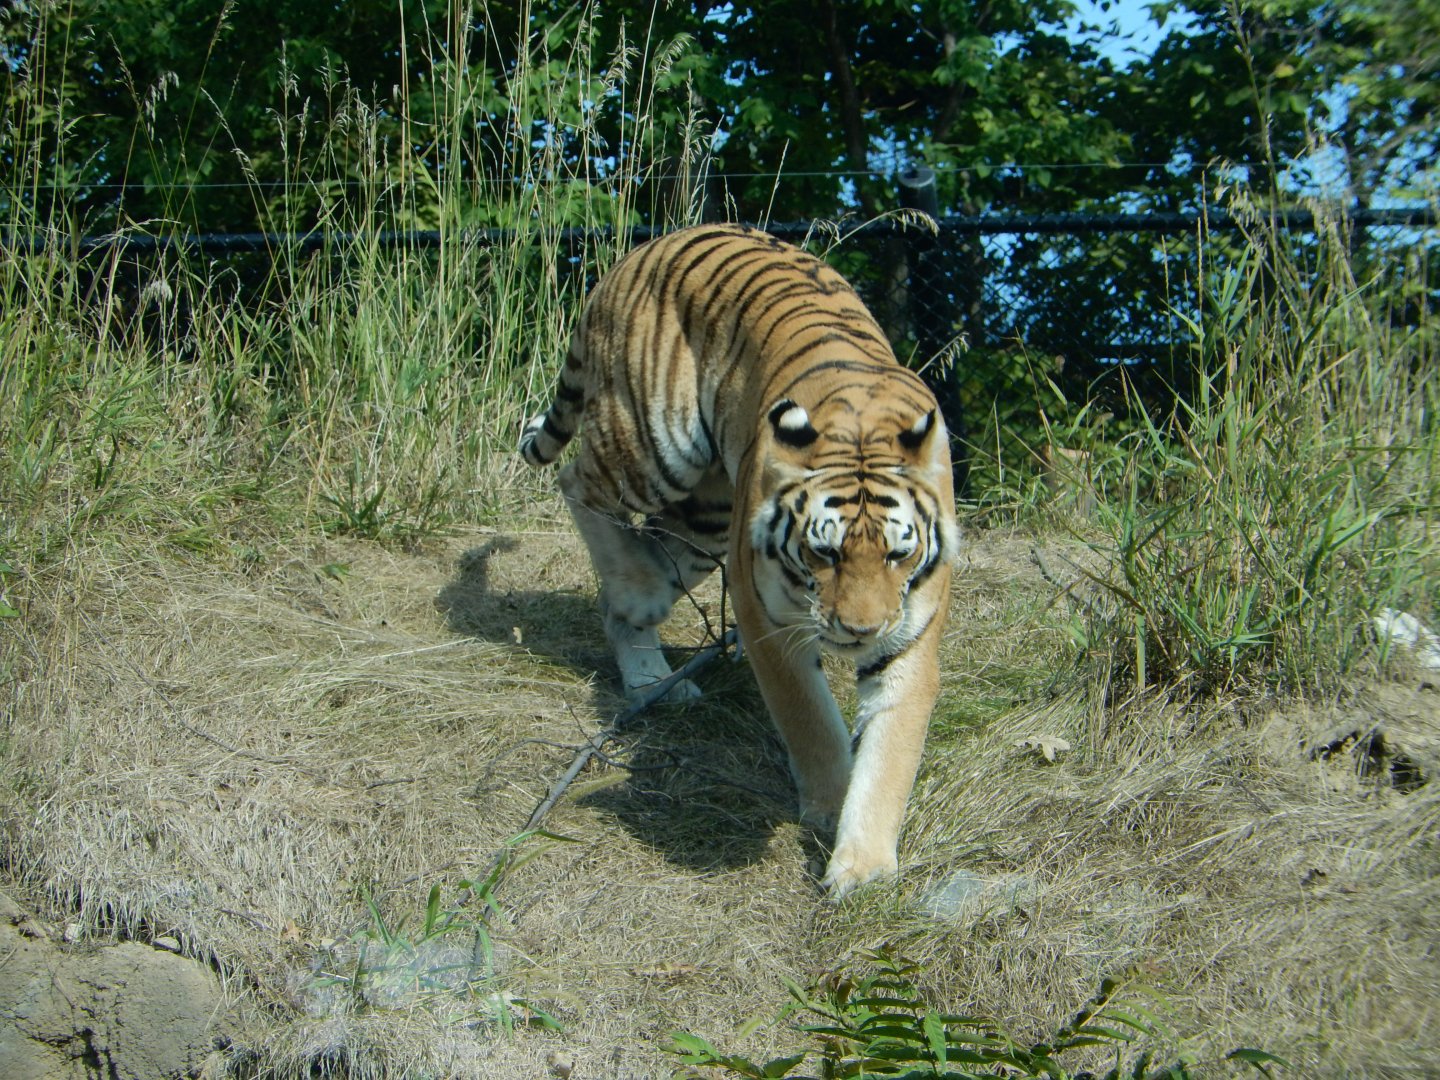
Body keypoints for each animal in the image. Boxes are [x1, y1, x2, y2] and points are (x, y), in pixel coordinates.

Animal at [518, 224, 959, 897]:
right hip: (653, 447)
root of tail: (643, 249)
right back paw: (637, 600)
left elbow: (891, 753)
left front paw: (863, 867)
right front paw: (830, 803)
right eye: (824, 551)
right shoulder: (767, 620)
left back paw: (649, 667)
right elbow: (810, 724)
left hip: (708, 513)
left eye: (897, 554)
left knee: (645, 567)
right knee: (576, 481)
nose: (858, 632)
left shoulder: (910, 636)